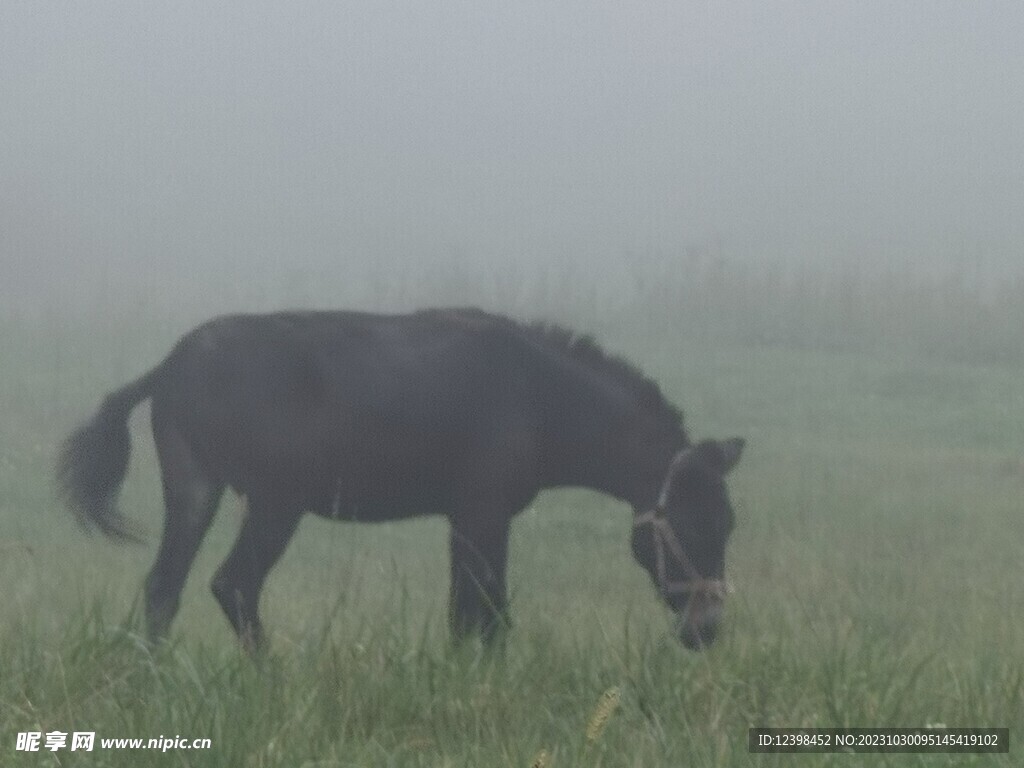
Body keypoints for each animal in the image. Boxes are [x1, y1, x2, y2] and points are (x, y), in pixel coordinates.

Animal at [58, 309, 745, 651]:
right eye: (693, 526)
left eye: (729, 527)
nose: (708, 631)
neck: (537, 394)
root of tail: (172, 364)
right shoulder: (484, 514)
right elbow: (486, 611)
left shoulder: (465, 519)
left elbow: (466, 610)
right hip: (277, 504)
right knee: (234, 585)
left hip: (195, 489)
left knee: (163, 588)